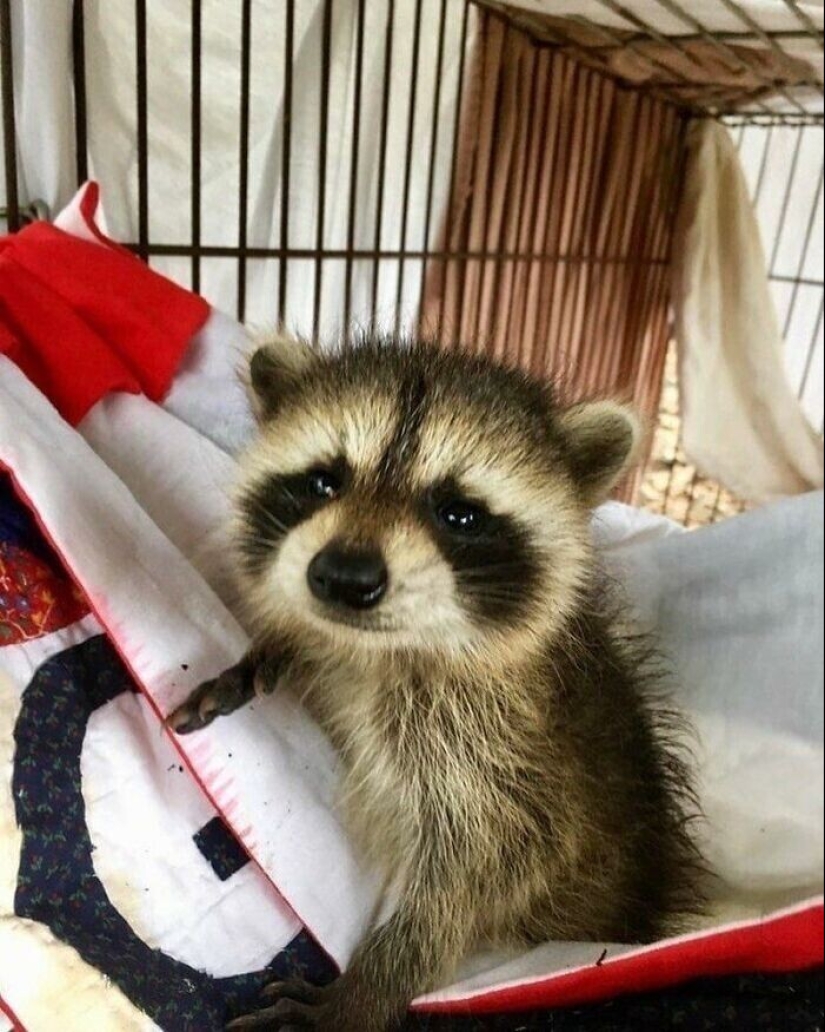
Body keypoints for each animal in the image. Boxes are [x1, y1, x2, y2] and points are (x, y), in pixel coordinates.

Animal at [169, 334, 705, 1032]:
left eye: (460, 514)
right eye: (323, 481)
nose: (344, 576)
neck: (386, 655)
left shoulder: (505, 759)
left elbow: (485, 875)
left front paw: (369, 988)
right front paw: (278, 649)